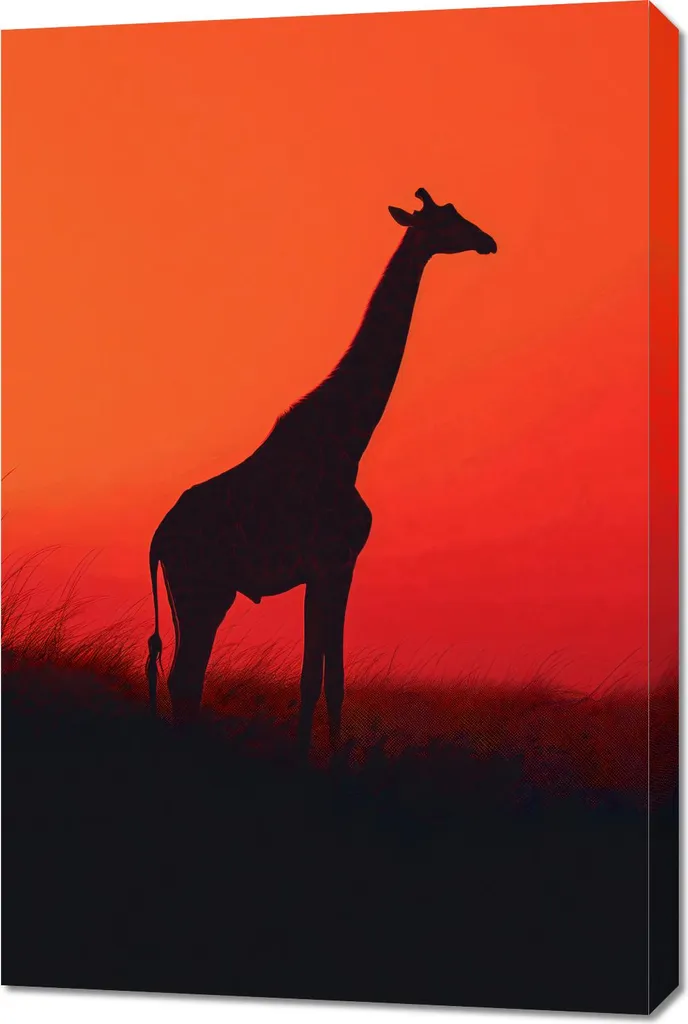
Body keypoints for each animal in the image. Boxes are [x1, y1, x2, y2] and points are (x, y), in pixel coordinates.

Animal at [146, 188, 496, 751]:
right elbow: (322, 680)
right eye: (447, 221)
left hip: (192, 595)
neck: (348, 442)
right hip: (204, 591)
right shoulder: (336, 561)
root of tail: (158, 538)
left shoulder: (327, 569)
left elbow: (327, 679)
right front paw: (315, 762)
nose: (488, 240)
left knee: (184, 680)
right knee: (184, 679)